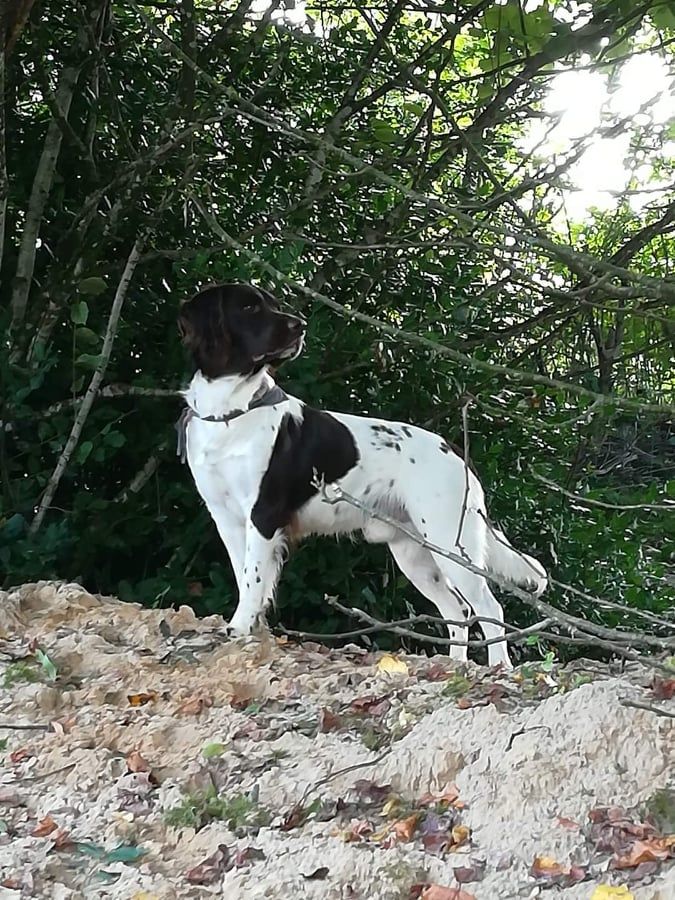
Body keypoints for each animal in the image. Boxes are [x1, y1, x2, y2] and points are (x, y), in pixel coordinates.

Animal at [178, 282, 548, 668]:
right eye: (249, 307)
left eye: (273, 305)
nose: (301, 325)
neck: (230, 413)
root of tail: (458, 457)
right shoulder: (226, 518)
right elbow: (246, 575)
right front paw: (251, 627)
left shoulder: (263, 514)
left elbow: (253, 578)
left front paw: (240, 628)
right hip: (415, 553)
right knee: (458, 609)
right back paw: (455, 664)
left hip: (450, 544)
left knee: (489, 607)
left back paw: (499, 666)